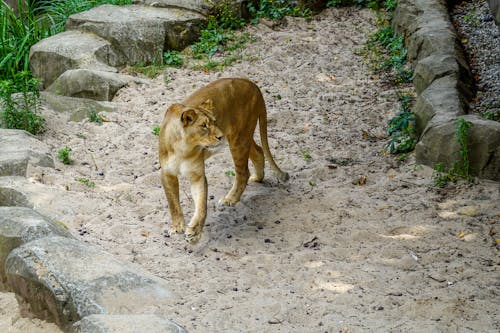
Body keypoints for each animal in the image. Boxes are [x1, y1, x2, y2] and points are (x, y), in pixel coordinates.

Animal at [156, 78, 290, 244]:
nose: (220, 136)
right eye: (204, 125)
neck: (184, 148)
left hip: (238, 140)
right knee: (258, 152)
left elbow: (201, 206)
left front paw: (194, 233)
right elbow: (173, 203)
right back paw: (257, 178)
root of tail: (251, 83)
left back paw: (230, 199)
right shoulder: (167, 174)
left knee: (243, 173)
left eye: (215, 121)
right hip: (242, 137)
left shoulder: (197, 175)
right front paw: (177, 227)